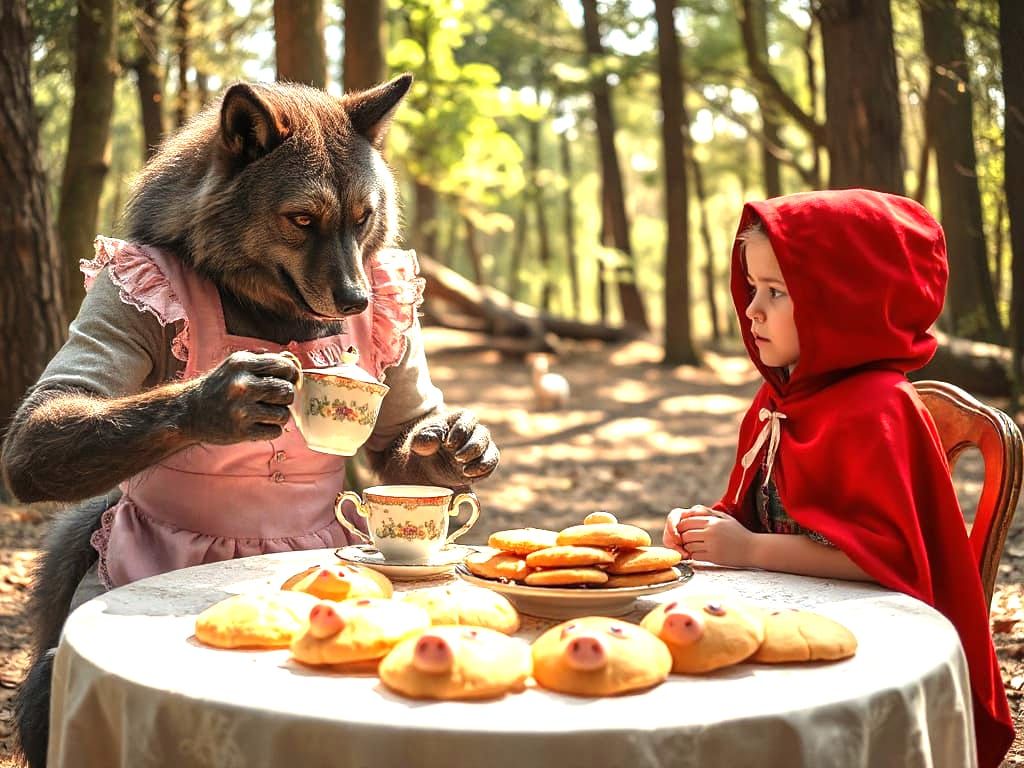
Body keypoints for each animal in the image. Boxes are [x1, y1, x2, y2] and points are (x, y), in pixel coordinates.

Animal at [1, 74, 499, 767]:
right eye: (302, 219)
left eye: (362, 218)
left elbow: (408, 429)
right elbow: (42, 419)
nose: (359, 300)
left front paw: (456, 448)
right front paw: (223, 397)